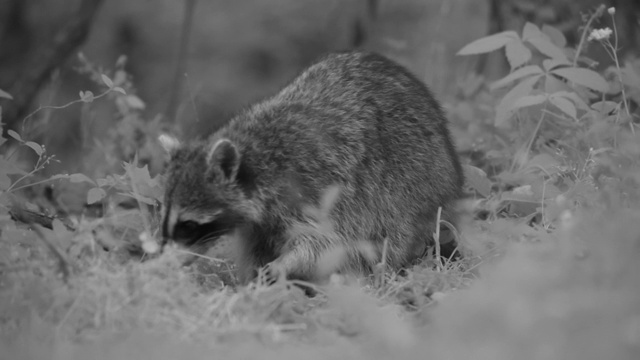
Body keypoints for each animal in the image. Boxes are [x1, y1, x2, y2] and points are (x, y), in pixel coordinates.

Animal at [158, 50, 462, 284]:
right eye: (164, 218)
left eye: (188, 225)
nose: (161, 263)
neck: (257, 154)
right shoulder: (259, 224)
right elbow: (255, 249)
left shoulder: (321, 191)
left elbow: (323, 244)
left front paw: (283, 265)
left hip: (411, 186)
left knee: (388, 238)